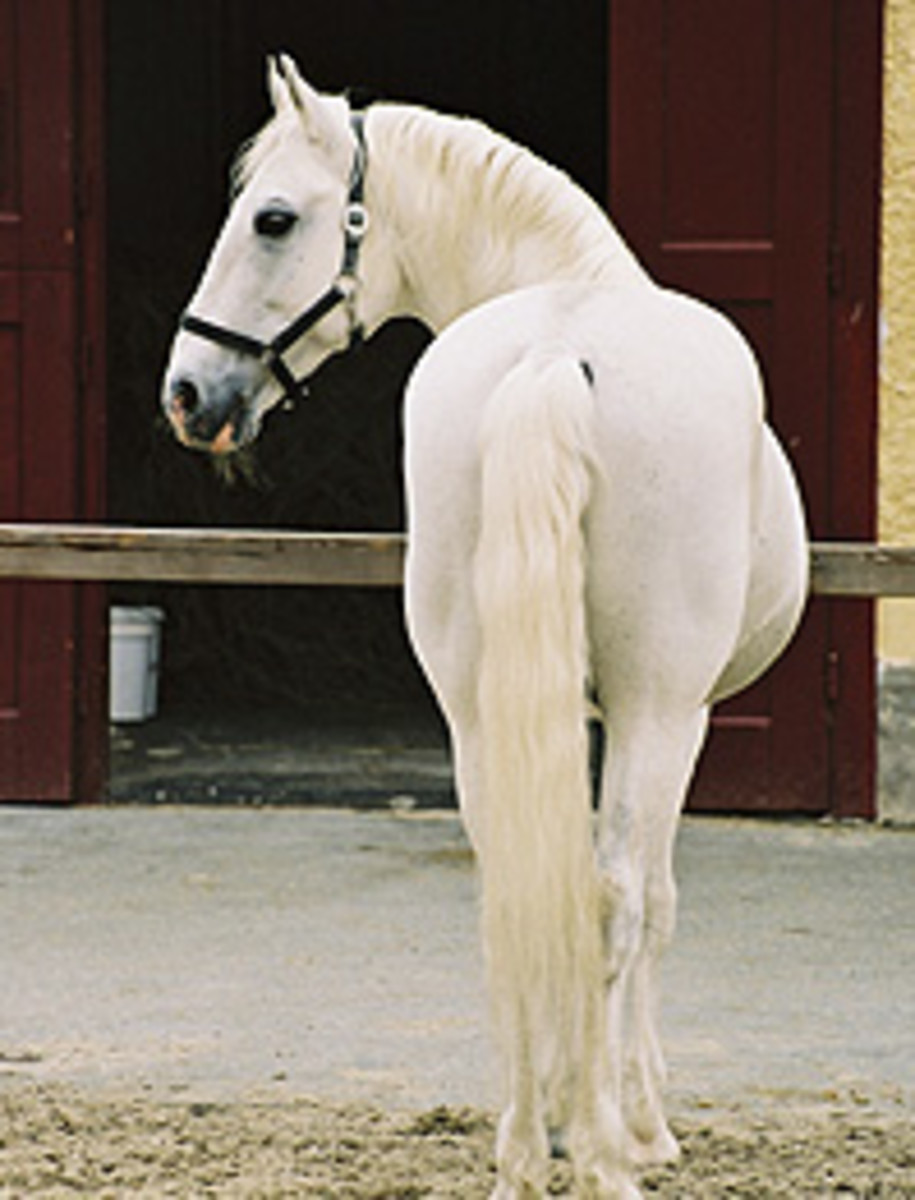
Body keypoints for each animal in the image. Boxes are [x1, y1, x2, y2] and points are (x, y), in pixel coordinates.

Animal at [161, 56, 808, 1199]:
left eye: (273, 218)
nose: (188, 393)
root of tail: (555, 355)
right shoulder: (666, 717)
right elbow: (651, 903)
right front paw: (641, 1120)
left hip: (479, 708)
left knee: (515, 888)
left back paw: (522, 1148)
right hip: (654, 709)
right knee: (614, 898)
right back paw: (603, 1152)